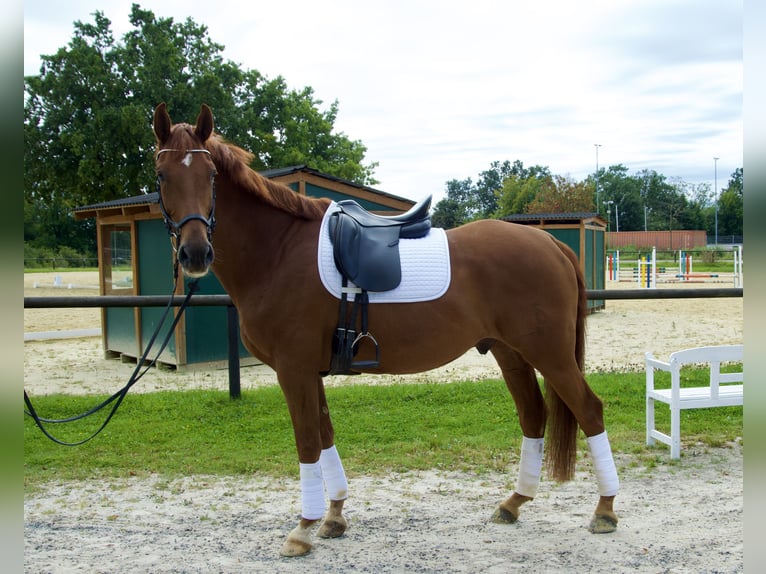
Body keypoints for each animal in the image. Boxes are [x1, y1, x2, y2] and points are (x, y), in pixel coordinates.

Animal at [153, 103, 620, 560]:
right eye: (162, 176)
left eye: (210, 176)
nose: (195, 253)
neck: (279, 251)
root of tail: (552, 243)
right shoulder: (310, 371)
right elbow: (325, 435)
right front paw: (334, 516)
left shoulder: (293, 370)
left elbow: (307, 442)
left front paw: (302, 529)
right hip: (511, 353)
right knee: (534, 415)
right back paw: (514, 503)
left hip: (551, 355)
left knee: (590, 410)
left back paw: (605, 509)